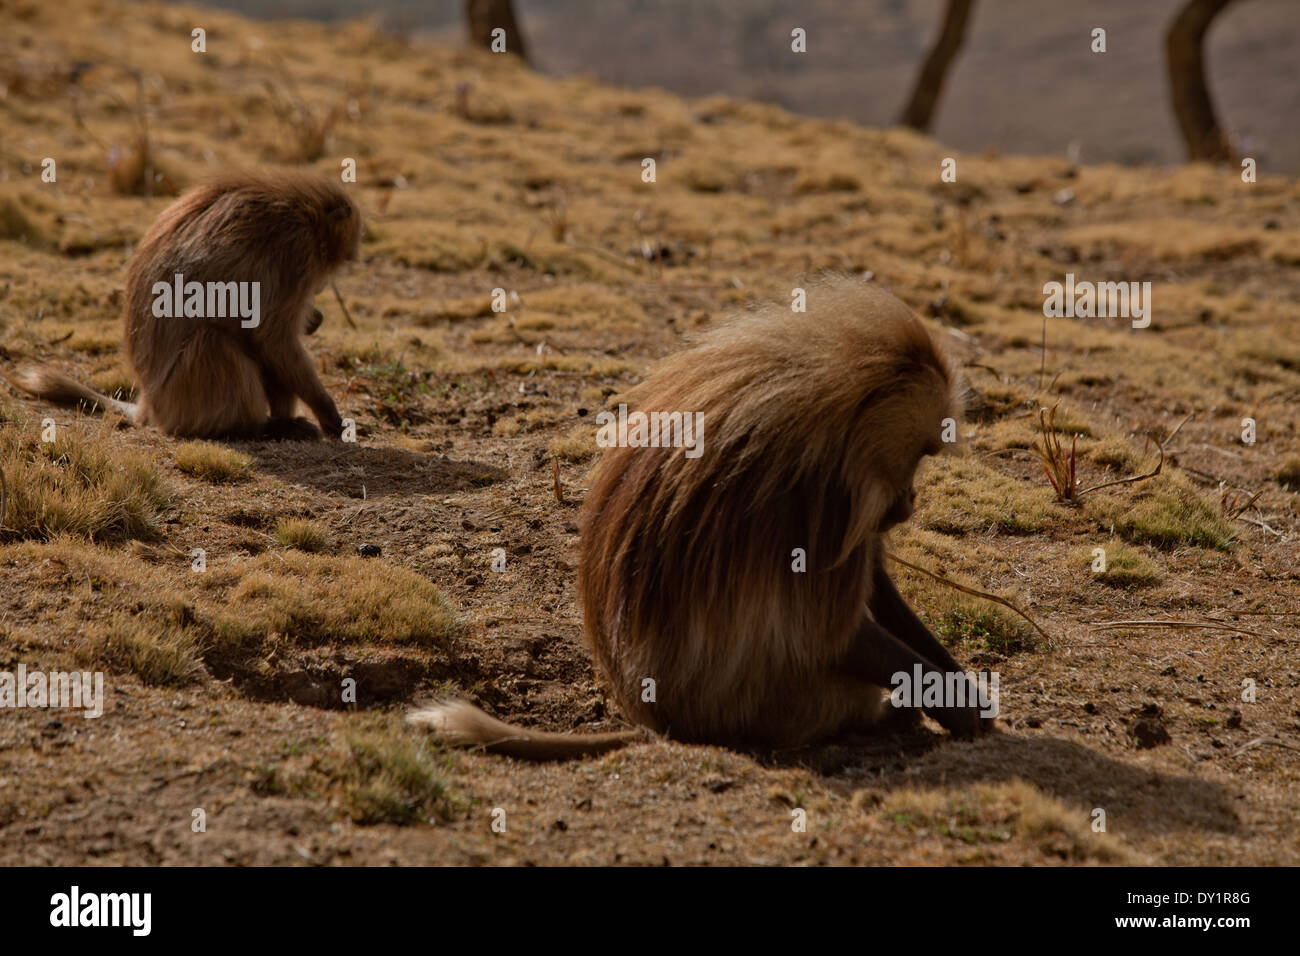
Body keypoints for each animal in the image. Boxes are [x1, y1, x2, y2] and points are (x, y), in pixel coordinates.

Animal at [11, 170, 361, 439]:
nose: (319, 302)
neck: (303, 211)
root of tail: (149, 404)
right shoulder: (295, 253)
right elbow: (274, 338)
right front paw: (330, 415)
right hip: (180, 397)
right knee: (220, 341)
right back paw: (258, 428)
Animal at [410, 278, 987, 764]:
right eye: (921, 456)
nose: (910, 502)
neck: (834, 422)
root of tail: (658, 722)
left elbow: (876, 585)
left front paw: (966, 689)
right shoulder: (823, 501)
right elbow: (833, 636)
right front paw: (961, 708)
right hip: (769, 704)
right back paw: (887, 714)